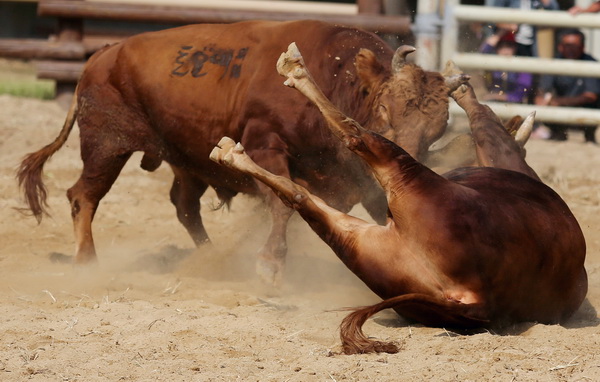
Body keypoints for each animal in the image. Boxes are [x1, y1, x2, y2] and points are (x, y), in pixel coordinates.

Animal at [17, 20, 460, 284]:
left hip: (183, 161)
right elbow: (282, 204)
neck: (338, 77)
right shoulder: (266, 147)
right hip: (106, 146)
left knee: (184, 206)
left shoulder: (359, 178)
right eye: (385, 109)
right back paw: (86, 261)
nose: (404, 164)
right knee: (83, 195)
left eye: (437, 130)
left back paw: (211, 260)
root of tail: (104, 53)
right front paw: (269, 264)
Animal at [210, 44, 584, 356]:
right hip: (358, 244)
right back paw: (233, 154)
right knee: (302, 197)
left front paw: (463, 88)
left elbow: (485, 121)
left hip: (403, 173)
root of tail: (476, 297)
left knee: (356, 137)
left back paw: (293, 74)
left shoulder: (502, 154)